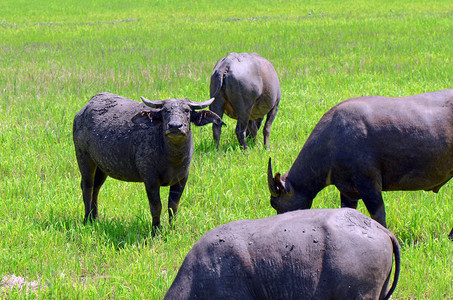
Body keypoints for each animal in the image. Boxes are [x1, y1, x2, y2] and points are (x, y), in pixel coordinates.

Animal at [72, 92, 222, 226]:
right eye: (165, 111)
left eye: (187, 110)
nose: (174, 126)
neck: (171, 158)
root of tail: (83, 111)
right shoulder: (150, 179)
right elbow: (156, 207)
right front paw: (156, 231)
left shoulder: (181, 179)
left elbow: (173, 207)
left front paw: (172, 229)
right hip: (84, 158)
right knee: (87, 187)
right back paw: (86, 220)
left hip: (101, 166)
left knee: (96, 188)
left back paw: (95, 218)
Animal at [266, 88, 452, 239]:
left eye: (275, 203)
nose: (281, 227)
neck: (332, 140)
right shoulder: (347, 192)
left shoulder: (369, 184)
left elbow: (378, 215)